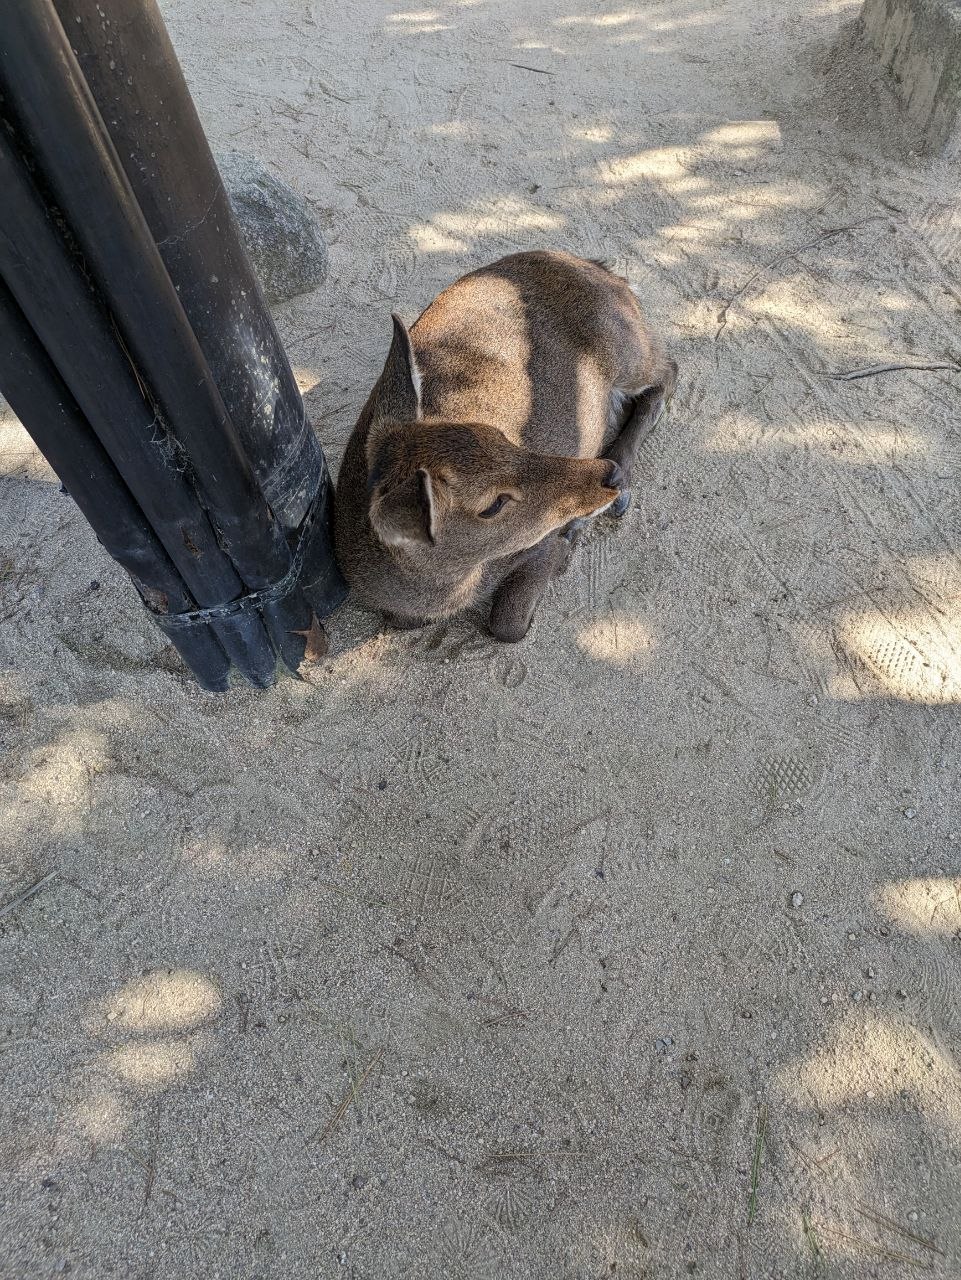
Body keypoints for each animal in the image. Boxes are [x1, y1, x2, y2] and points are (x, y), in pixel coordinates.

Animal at [334, 250, 677, 642]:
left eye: (498, 435)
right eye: (493, 504)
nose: (610, 476)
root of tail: (608, 273)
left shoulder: (537, 544)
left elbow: (507, 624)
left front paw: (567, 543)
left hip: (628, 348)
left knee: (669, 370)